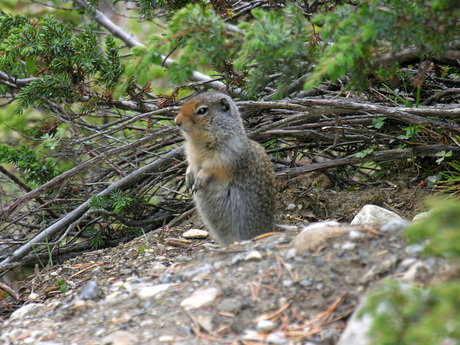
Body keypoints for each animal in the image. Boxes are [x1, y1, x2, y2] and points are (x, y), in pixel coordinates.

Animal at [174, 90, 274, 242]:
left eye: (202, 110)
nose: (177, 121)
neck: (199, 142)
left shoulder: (224, 155)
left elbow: (213, 168)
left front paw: (200, 178)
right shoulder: (192, 155)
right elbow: (191, 165)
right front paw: (189, 176)